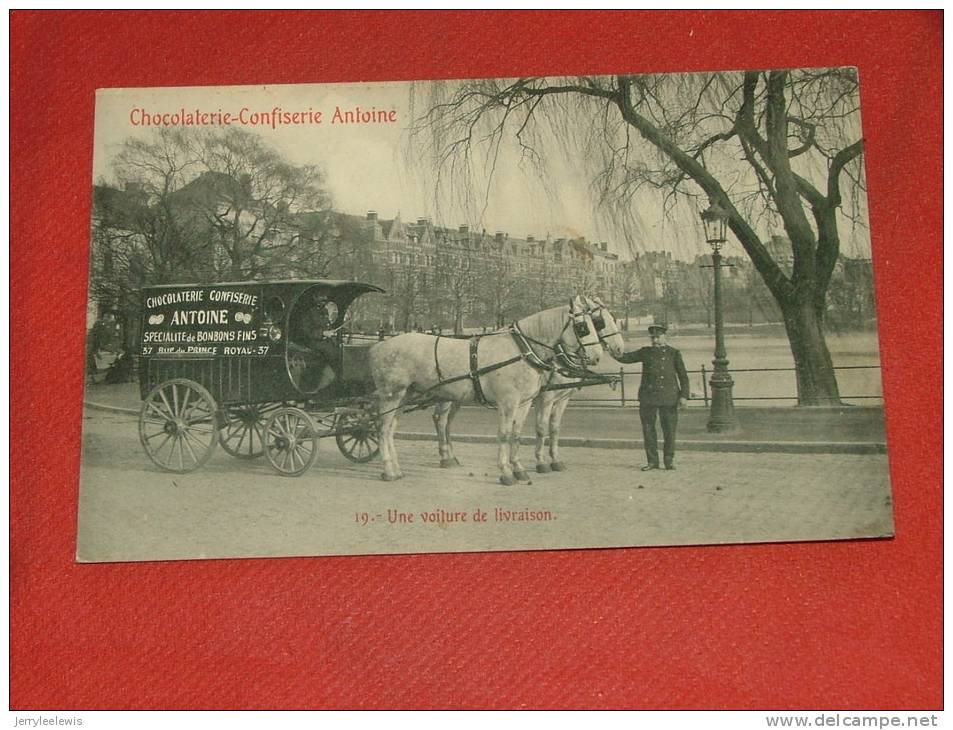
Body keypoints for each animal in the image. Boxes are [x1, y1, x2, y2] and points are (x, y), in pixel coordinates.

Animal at [368, 296, 600, 484]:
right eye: (583, 327)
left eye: (595, 323)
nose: (597, 356)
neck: (521, 350)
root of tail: (379, 347)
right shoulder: (509, 403)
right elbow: (505, 435)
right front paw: (506, 472)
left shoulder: (524, 404)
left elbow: (517, 434)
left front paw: (518, 468)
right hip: (392, 395)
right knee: (383, 429)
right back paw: (389, 470)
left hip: (406, 396)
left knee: (393, 429)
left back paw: (397, 468)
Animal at [536, 296, 624, 472]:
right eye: (600, 322)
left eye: (614, 318)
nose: (620, 348)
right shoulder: (545, 398)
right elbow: (541, 427)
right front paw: (540, 462)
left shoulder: (561, 398)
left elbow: (554, 427)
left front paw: (555, 460)